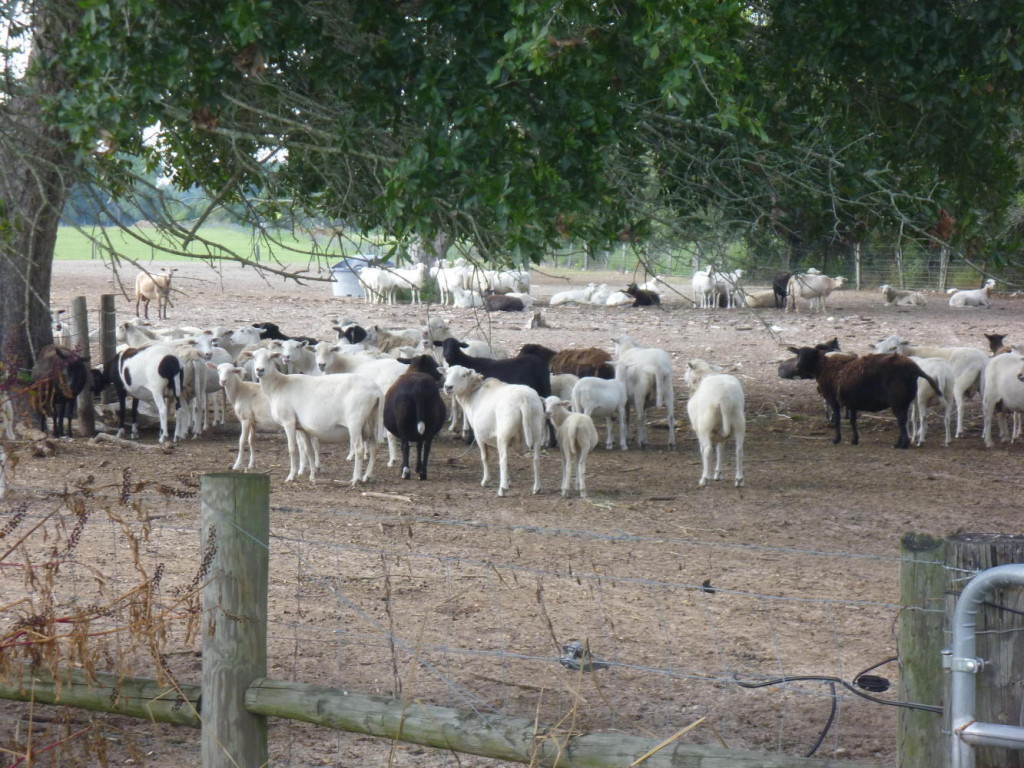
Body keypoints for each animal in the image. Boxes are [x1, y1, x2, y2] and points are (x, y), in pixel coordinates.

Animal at [444, 366, 548, 499]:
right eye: (446, 373)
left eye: (463, 375)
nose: (448, 387)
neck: (471, 395)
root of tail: (523, 399)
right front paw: (508, 480)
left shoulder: (479, 436)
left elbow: (485, 457)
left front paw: (486, 480)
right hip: (536, 431)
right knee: (536, 459)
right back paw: (537, 488)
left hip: (504, 433)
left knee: (503, 459)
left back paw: (502, 489)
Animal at [782, 346, 942, 448]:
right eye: (798, 354)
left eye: (810, 354)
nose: (797, 366)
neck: (823, 368)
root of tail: (914, 368)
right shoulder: (852, 402)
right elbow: (853, 421)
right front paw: (854, 440)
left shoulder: (833, 399)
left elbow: (838, 420)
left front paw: (836, 439)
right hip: (905, 400)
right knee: (904, 420)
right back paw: (899, 442)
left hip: (896, 400)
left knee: (901, 420)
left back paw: (902, 445)